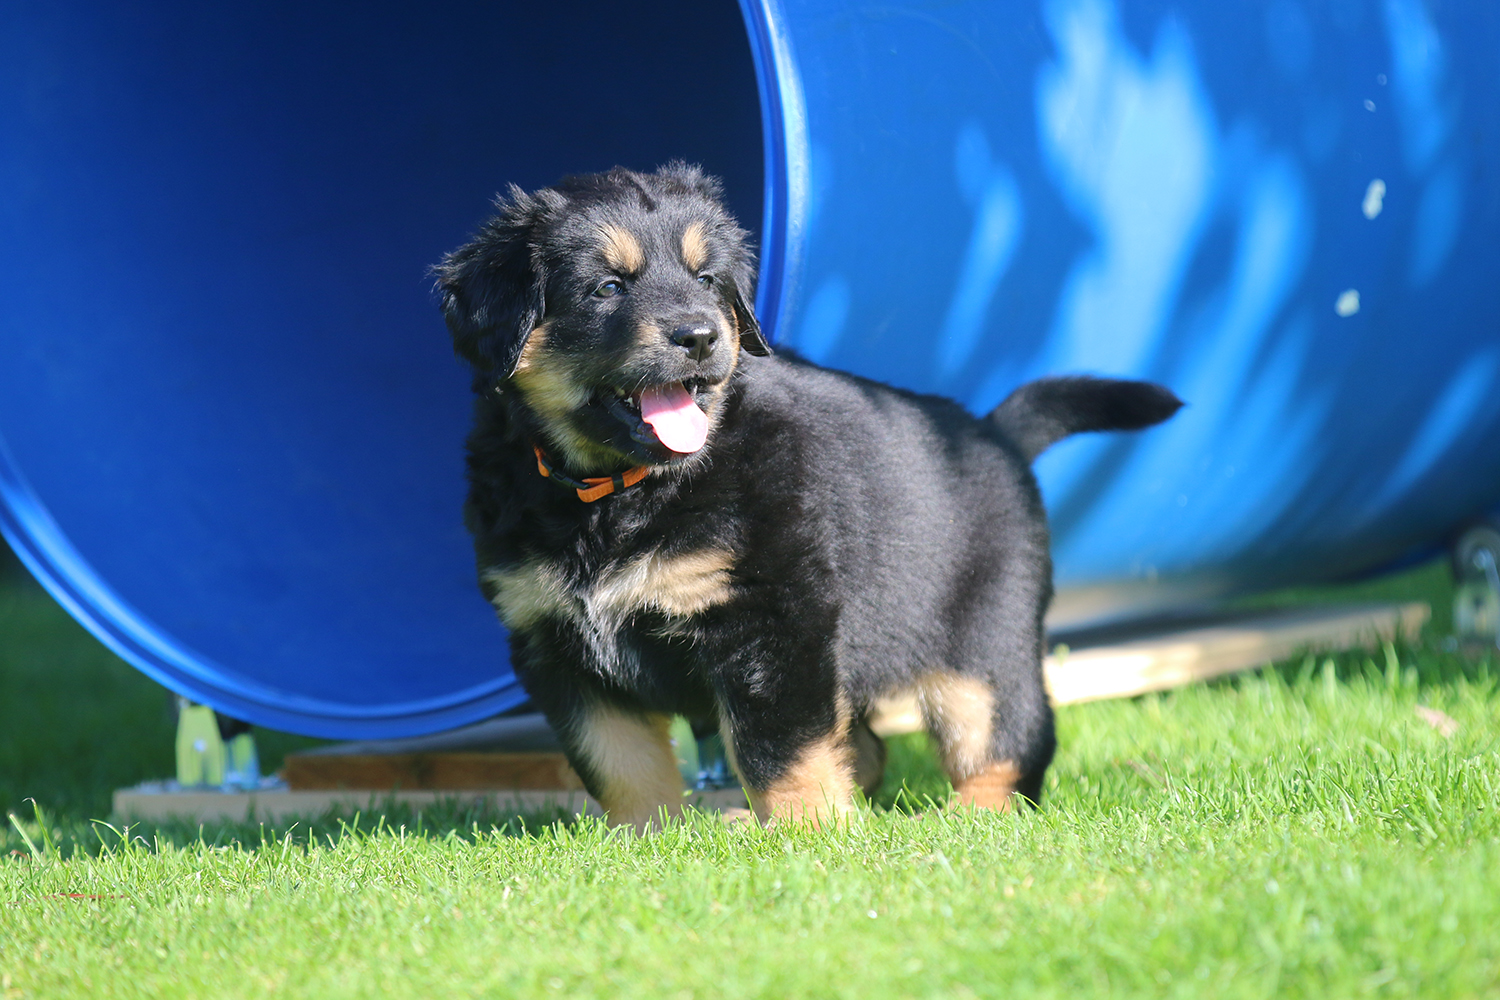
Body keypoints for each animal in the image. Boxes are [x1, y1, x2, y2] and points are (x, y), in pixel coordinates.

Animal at [436, 163, 1181, 829]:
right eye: (606, 287)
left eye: (706, 279)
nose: (700, 336)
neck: (614, 493)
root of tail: (992, 434)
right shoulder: (555, 643)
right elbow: (619, 763)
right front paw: (645, 840)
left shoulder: (772, 618)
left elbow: (781, 746)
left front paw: (808, 833)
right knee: (870, 747)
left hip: (982, 645)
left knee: (1006, 743)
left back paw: (969, 818)